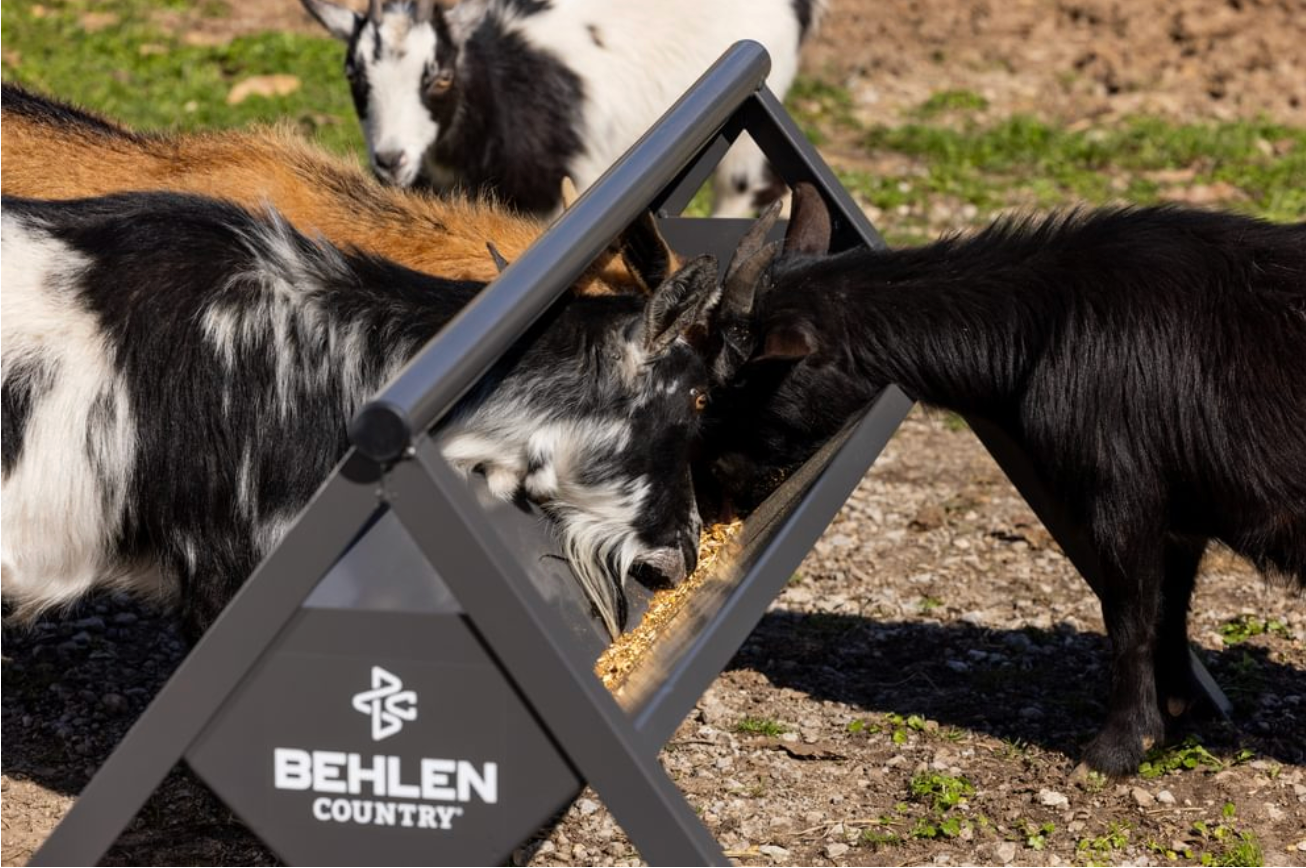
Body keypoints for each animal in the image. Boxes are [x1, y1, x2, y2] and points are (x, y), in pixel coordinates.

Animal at [700, 187, 1306, 775]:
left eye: (743, 379)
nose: (718, 473)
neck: (1045, 322)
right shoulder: (1179, 513)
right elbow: (1169, 608)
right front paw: (1177, 707)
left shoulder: (1122, 493)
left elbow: (1130, 618)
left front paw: (1116, 748)